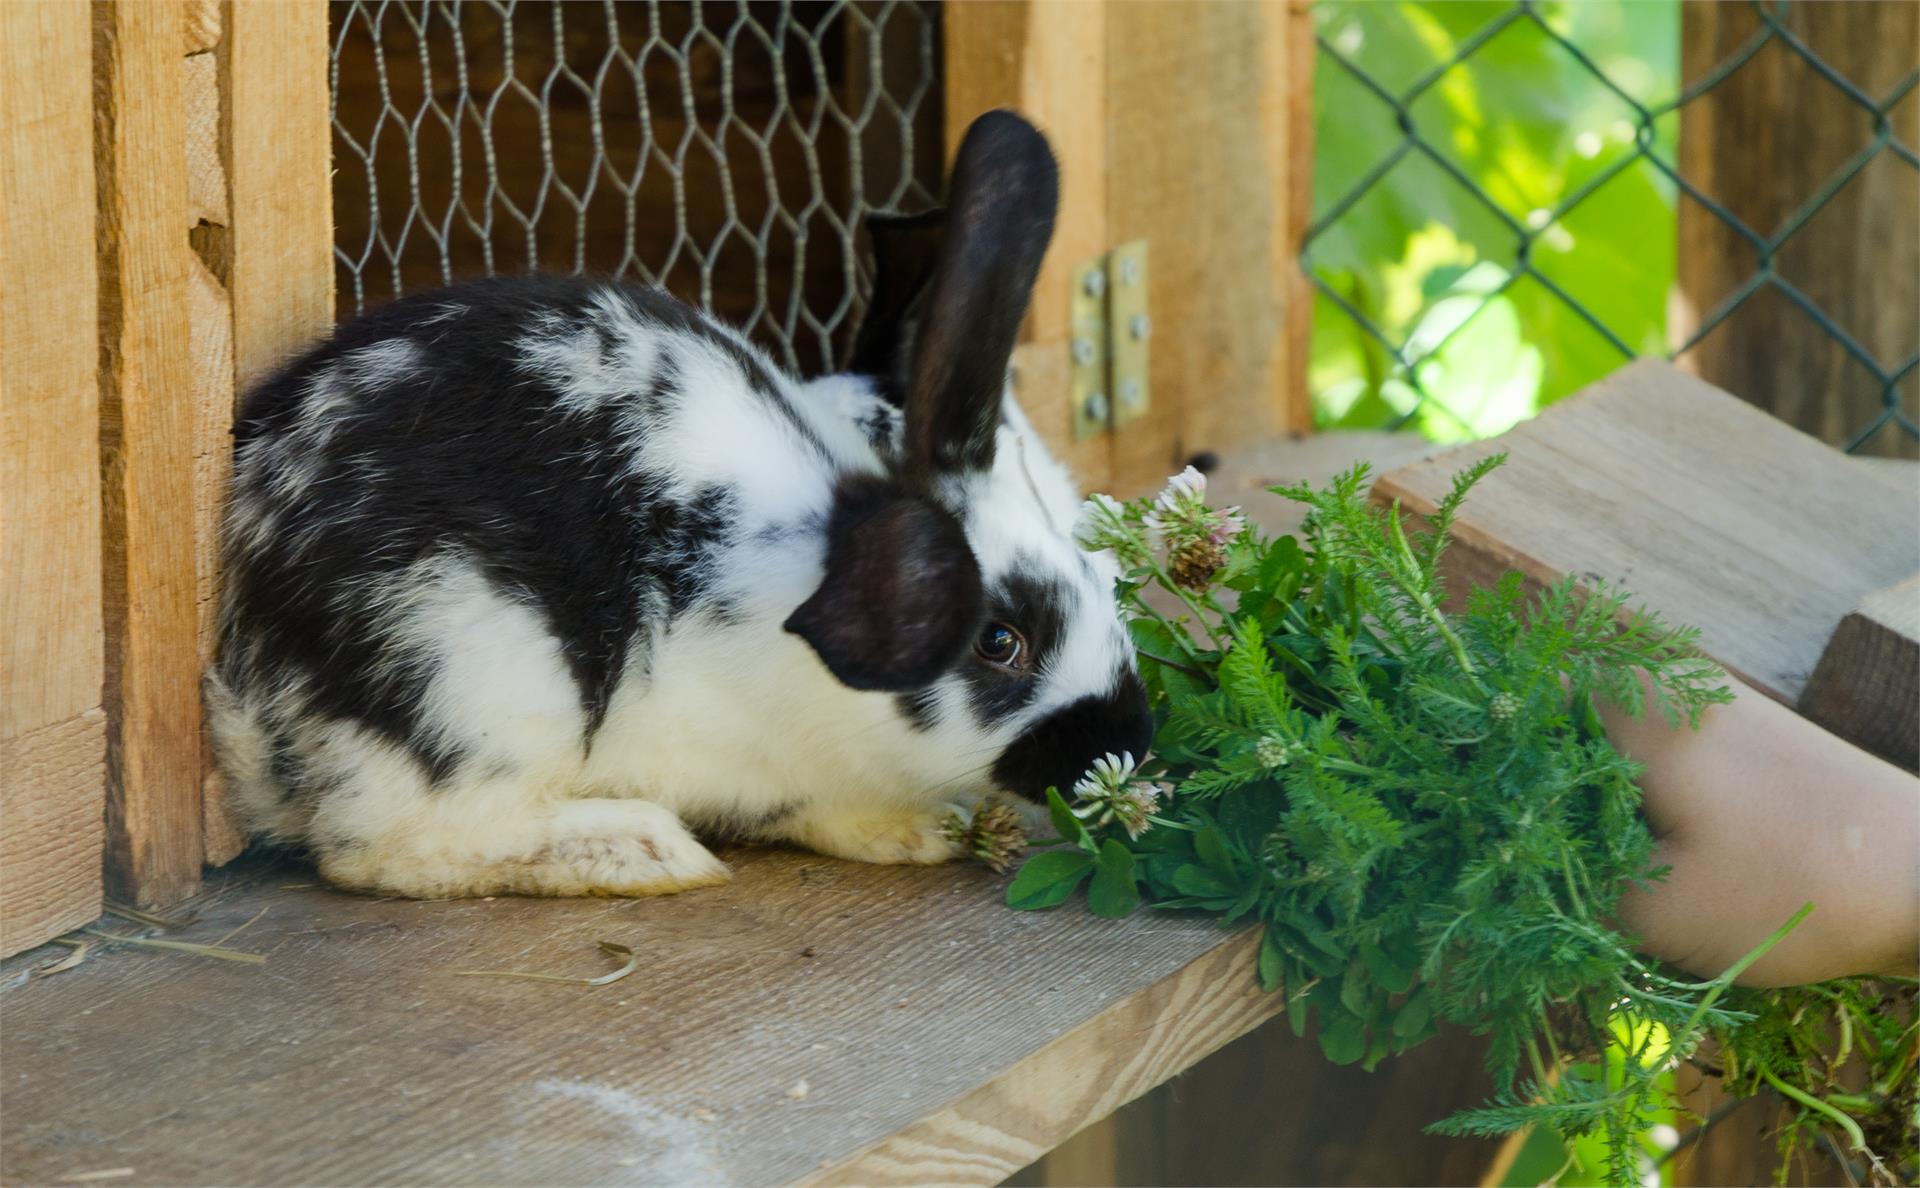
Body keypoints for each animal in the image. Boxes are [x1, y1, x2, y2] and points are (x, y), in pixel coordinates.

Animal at [206, 111, 1152, 898]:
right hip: (467, 673)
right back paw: (646, 853)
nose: (1128, 741)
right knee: (389, 847)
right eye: (1001, 642)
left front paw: (920, 831)